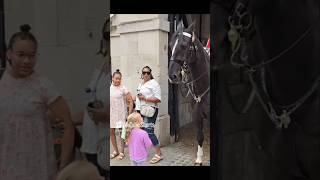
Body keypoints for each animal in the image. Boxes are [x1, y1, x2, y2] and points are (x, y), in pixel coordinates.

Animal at [168, 21, 210, 166]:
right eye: (171, 45)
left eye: (184, 45)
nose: (172, 76)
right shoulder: (197, 115)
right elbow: (200, 137)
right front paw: (199, 159)